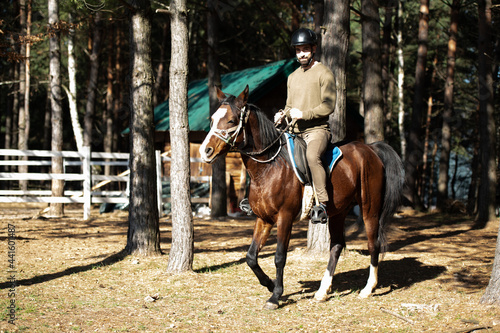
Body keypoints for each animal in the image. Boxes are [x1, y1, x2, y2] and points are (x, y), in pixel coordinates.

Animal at [197, 85, 404, 308]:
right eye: (212, 119)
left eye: (231, 120)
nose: (205, 151)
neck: (269, 167)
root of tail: (371, 149)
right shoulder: (263, 218)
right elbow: (251, 256)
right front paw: (269, 284)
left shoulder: (285, 218)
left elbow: (279, 256)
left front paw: (276, 295)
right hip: (338, 212)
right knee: (336, 246)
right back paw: (322, 291)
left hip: (369, 209)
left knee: (373, 243)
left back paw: (368, 288)